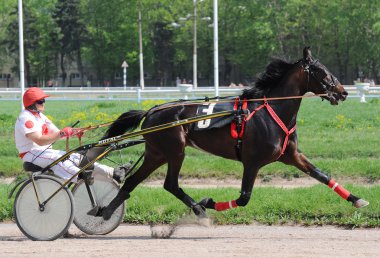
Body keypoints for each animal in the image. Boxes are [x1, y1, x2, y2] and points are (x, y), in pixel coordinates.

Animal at [93, 46, 368, 220]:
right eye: (322, 71)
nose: (343, 92)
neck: (272, 111)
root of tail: (151, 110)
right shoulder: (252, 161)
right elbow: (244, 197)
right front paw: (209, 202)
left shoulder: (291, 155)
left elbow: (321, 175)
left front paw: (357, 199)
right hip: (174, 150)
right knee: (168, 183)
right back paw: (199, 208)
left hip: (157, 153)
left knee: (135, 182)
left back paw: (106, 211)